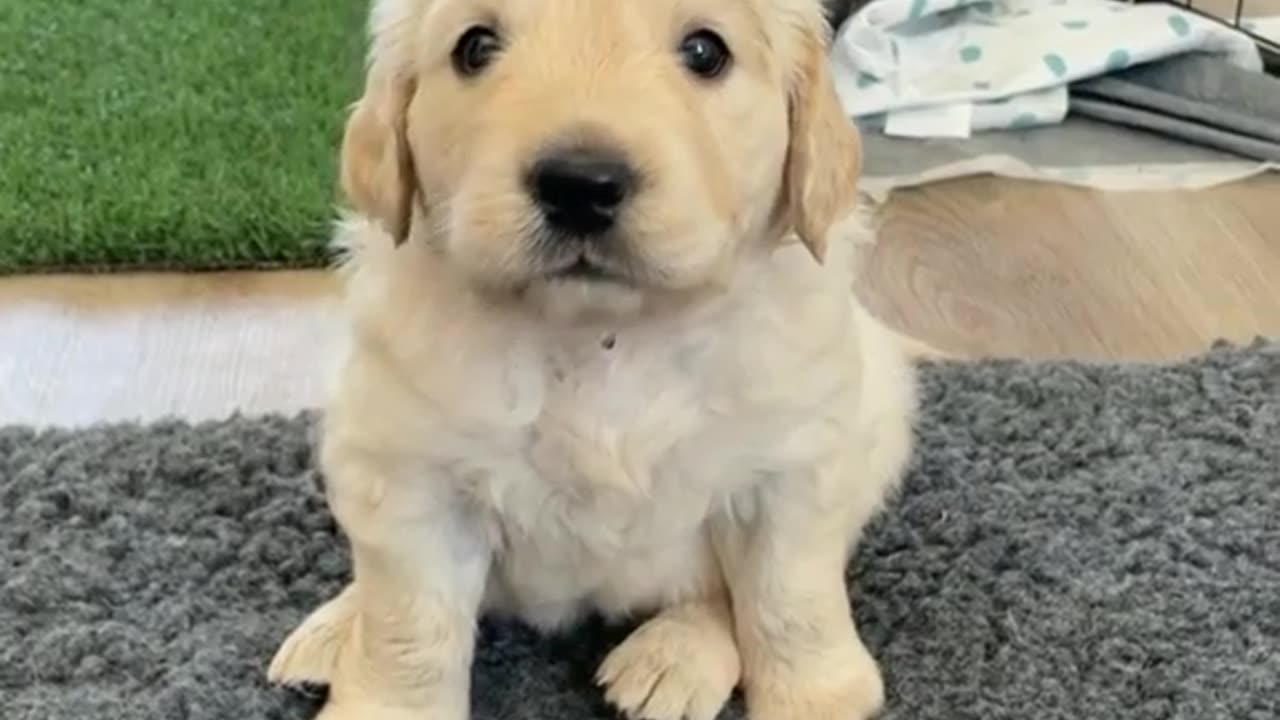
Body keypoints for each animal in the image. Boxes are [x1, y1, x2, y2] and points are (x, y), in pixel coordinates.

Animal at [270, 1, 916, 717]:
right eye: (474, 47)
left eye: (705, 51)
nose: (580, 185)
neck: (604, 336)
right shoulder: (411, 477)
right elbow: (409, 625)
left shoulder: (795, 463)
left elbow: (787, 599)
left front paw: (816, 697)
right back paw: (334, 629)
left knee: (716, 596)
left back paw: (673, 656)